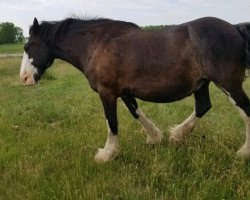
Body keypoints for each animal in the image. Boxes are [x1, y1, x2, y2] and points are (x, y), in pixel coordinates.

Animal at [20, 15, 250, 162]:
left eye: (28, 46)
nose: (24, 78)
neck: (96, 44)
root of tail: (235, 28)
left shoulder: (107, 92)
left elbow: (112, 122)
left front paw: (107, 153)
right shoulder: (123, 91)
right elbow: (136, 112)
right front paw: (155, 138)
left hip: (229, 85)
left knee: (245, 111)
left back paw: (244, 152)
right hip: (202, 83)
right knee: (203, 106)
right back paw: (177, 135)